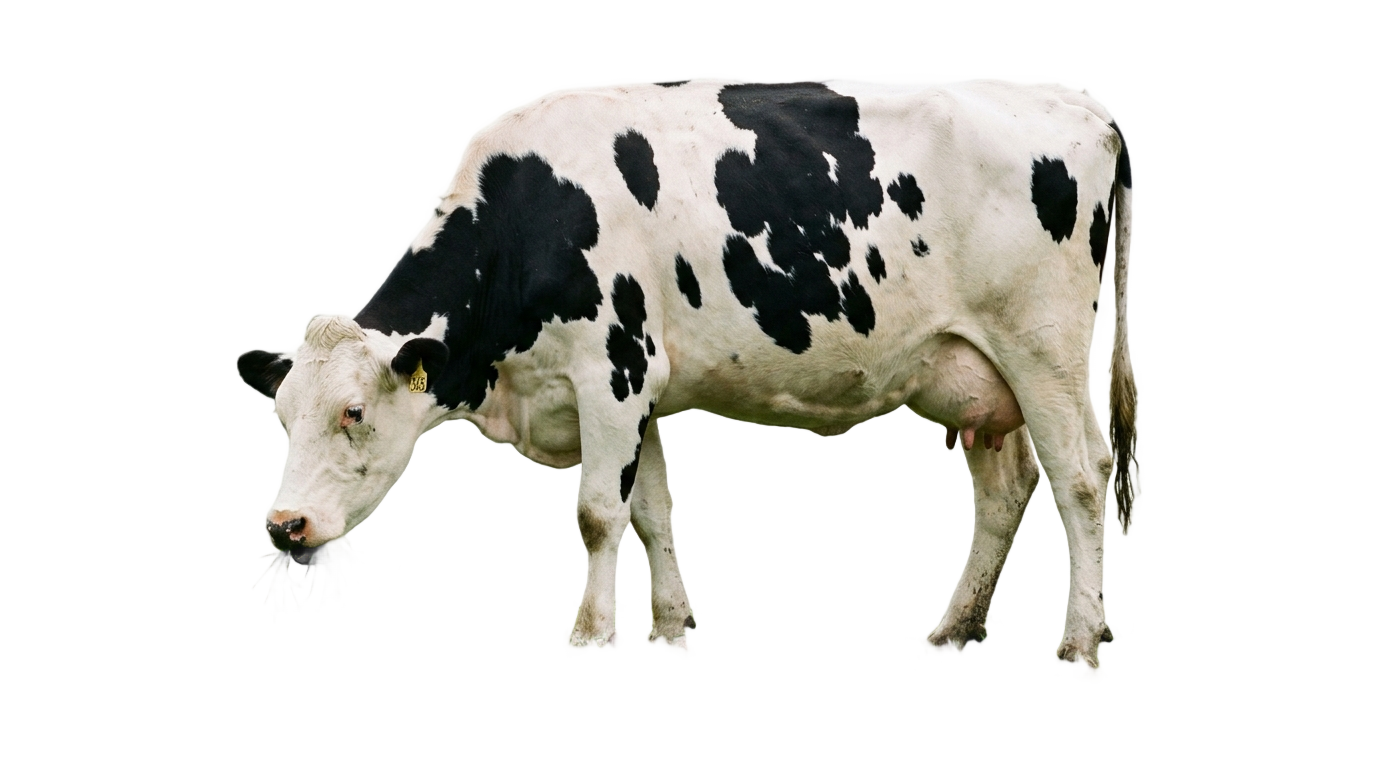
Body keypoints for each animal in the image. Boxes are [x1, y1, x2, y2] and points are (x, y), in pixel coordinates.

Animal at [235, 77, 1141, 667]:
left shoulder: (615, 370)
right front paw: (670, 632)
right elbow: (652, 515)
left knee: (1080, 482)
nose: (282, 524)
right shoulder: (640, 393)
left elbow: (597, 516)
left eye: (353, 412)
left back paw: (1075, 643)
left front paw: (588, 638)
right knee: (1009, 491)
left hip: (1044, 349)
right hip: (979, 374)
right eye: (282, 417)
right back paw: (954, 630)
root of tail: (1088, 115)